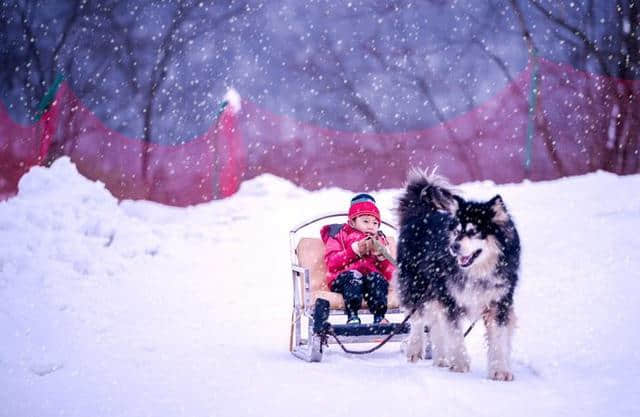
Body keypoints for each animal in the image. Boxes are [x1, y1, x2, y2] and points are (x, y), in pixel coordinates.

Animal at [396, 169, 520, 380]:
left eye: (473, 232)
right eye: (456, 231)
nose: (453, 246)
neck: (477, 272)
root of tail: (422, 213)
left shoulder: (499, 303)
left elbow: (499, 339)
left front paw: (500, 370)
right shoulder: (450, 300)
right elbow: (454, 334)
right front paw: (460, 364)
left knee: (435, 325)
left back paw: (441, 358)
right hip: (418, 286)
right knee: (418, 319)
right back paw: (416, 349)